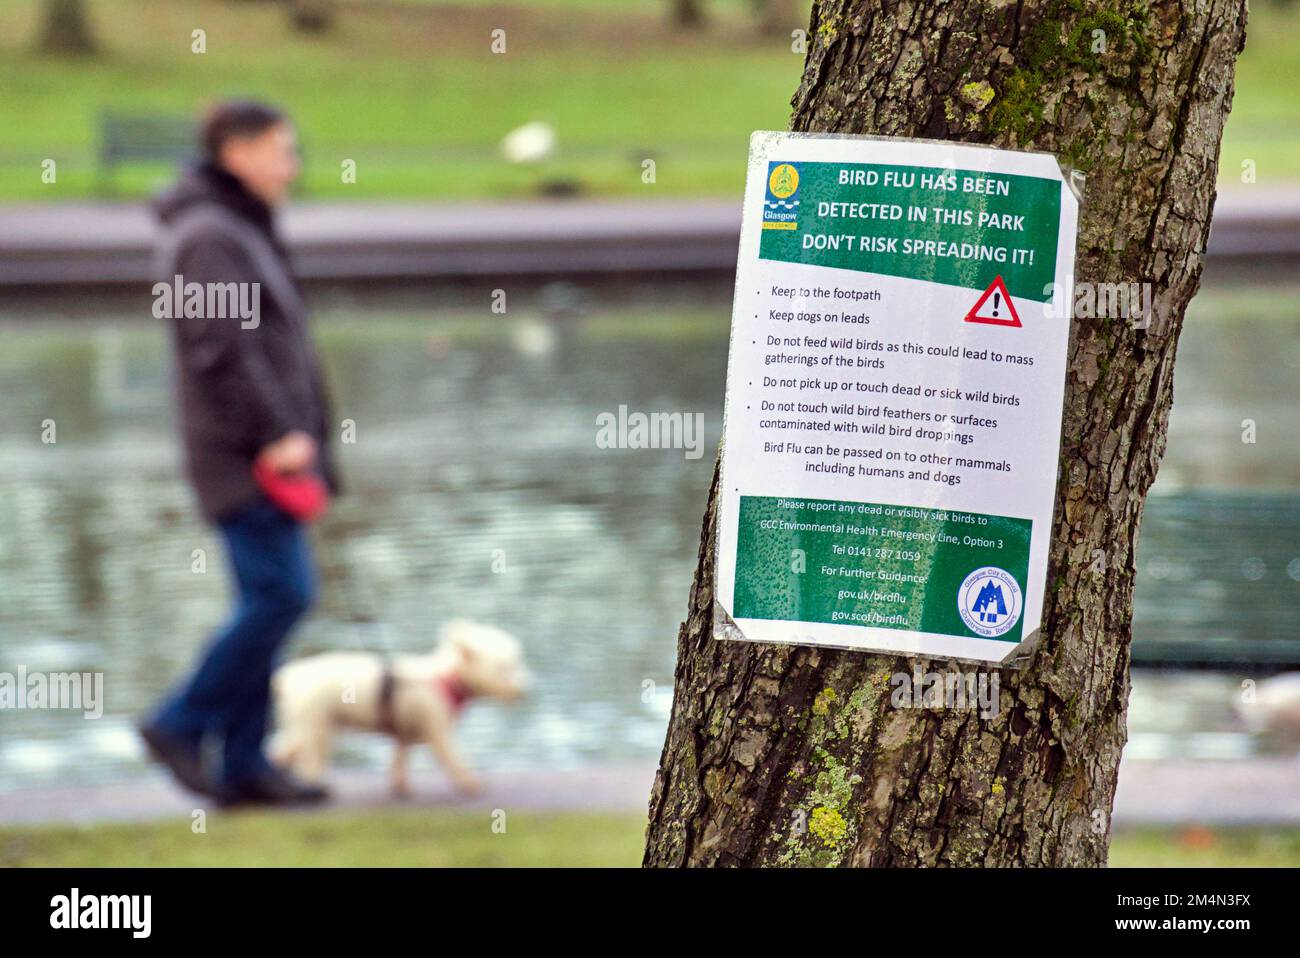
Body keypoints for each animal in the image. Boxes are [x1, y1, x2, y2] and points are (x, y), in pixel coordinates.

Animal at [270, 621, 527, 790]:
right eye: (504, 668)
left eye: (517, 663)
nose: (524, 689)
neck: (445, 678)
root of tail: (289, 677)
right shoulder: (436, 727)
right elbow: (452, 756)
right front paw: (468, 782)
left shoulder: (406, 730)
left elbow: (400, 757)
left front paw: (399, 785)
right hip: (317, 725)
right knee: (308, 759)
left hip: (309, 723)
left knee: (284, 747)